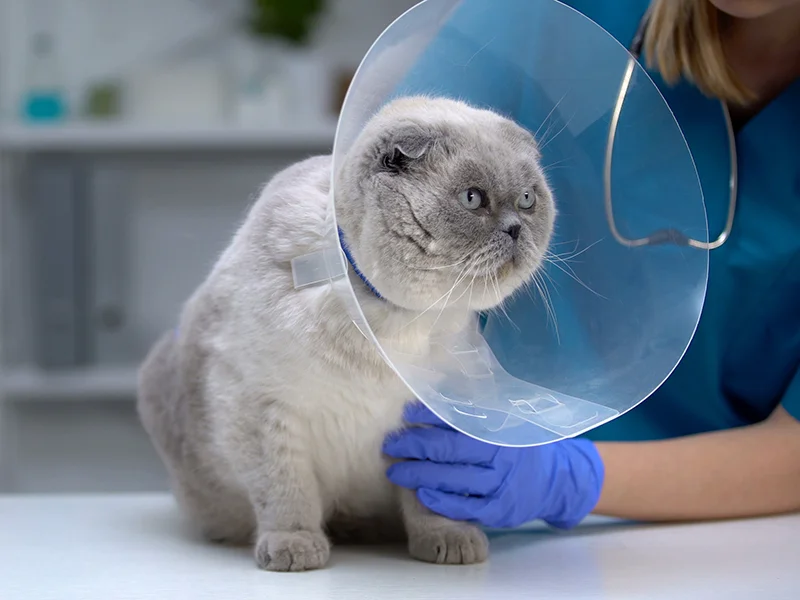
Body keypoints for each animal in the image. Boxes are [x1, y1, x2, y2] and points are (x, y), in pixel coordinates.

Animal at [138, 97, 556, 572]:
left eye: (527, 200)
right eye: (473, 199)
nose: (516, 229)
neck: (388, 320)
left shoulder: (430, 422)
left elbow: (431, 498)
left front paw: (449, 542)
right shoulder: (261, 410)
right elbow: (287, 495)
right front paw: (296, 550)